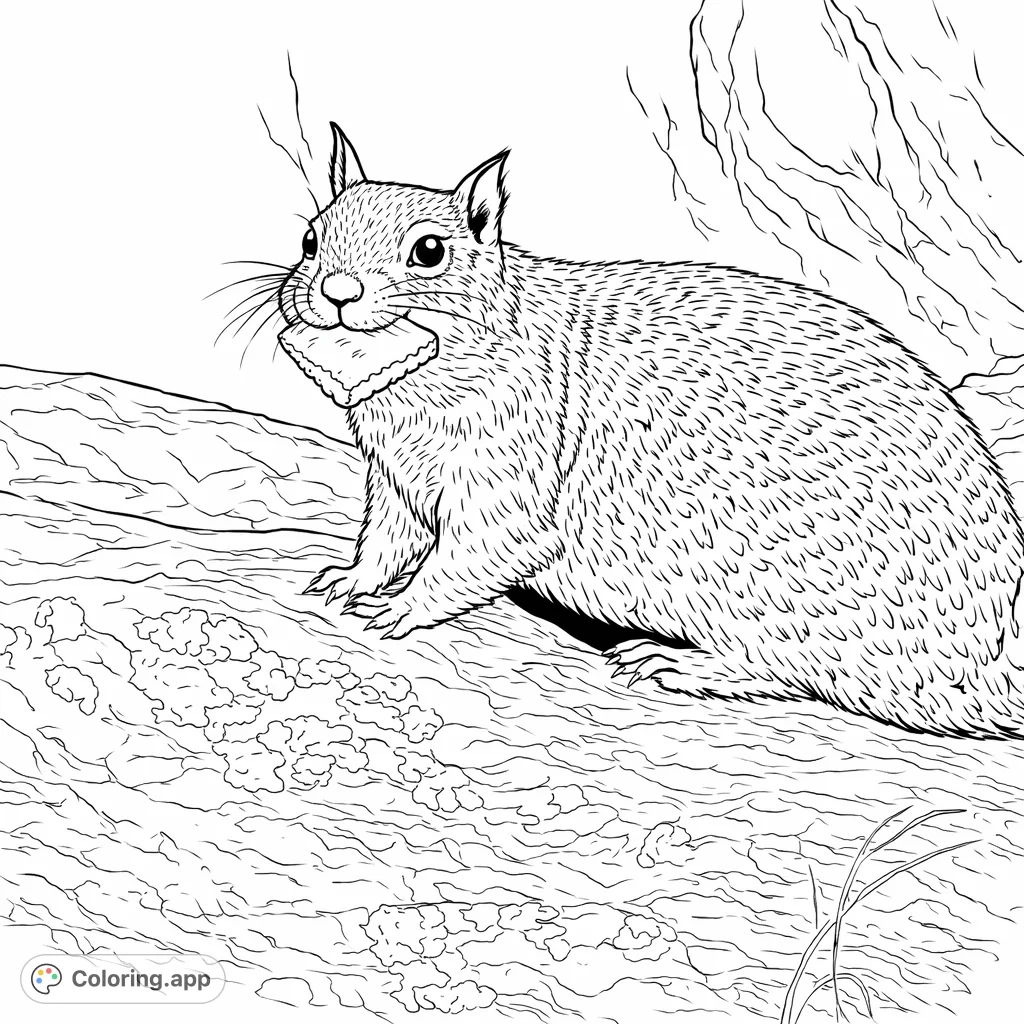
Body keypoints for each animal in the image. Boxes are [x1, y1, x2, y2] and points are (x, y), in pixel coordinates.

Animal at [276, 122, 1024, 741]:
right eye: (310, 240)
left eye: (429, 252)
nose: (337, 292)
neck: (416, 385)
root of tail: (976, 673)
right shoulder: (395, 480)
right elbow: (384, 540)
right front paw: (347, 580)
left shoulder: (511, 480)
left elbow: (472, 557)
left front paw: (401, 609)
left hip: (775, 600)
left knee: (794, 673)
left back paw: (676, 662)